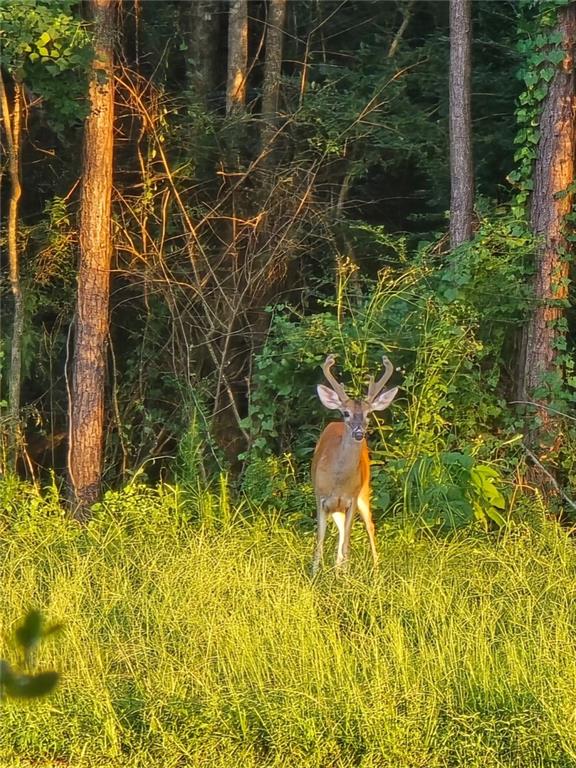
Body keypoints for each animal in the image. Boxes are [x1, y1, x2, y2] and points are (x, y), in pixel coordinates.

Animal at [312, 352, 398, 568]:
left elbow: (346, 546)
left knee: (369, 526)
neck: (338, 481)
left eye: (368, 414)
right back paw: (337, 569)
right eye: (346, 412)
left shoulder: (351, 499)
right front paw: (314, 572)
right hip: (337, 508)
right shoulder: (320, 497)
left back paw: (375, 569)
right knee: (341, 533)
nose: (359, 433)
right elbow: (319, 544)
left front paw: (347, 573)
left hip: (364, 491)